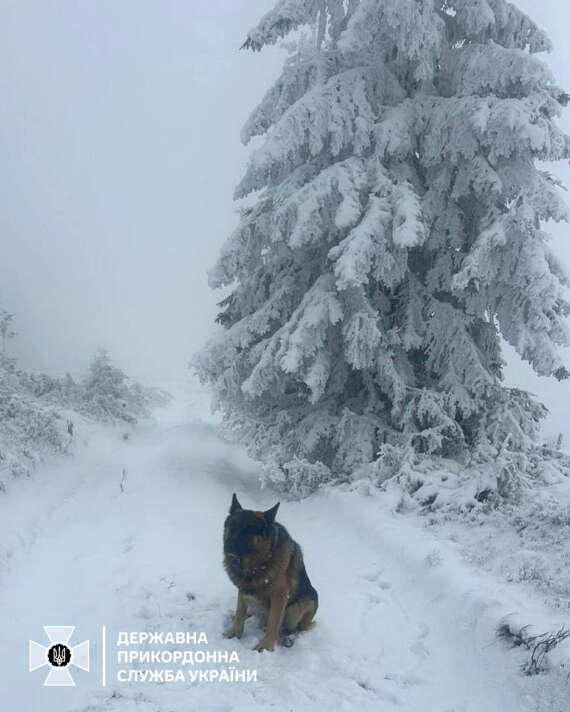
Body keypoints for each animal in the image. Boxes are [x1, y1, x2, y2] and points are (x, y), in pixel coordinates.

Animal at [222, 496, 318, 652]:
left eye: (248, 531)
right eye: (232, 526)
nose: (228, 547)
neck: (257, 565)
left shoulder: (280, 595)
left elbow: (274, 622)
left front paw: (266, 646)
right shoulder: (243, 589)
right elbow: (240, 612)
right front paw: (235, 632)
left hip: (301, 605)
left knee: (296, 628)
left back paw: (288, 638)